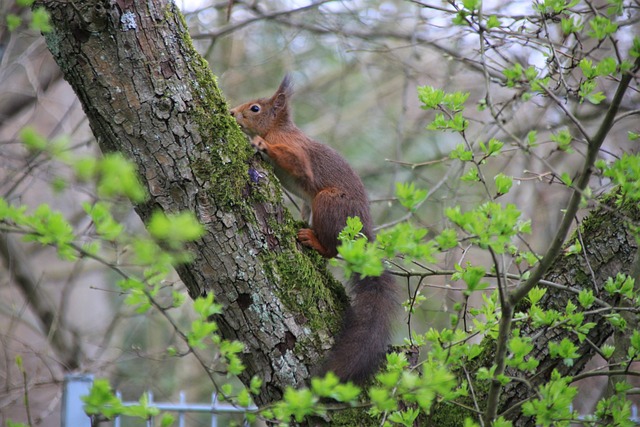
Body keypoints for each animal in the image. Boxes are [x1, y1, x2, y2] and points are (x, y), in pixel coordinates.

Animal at [230, 75, 396, 386]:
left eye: (255, 108)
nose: (232, 112)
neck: (278, 129)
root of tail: (363, 232)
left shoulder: (294, 149)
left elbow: (297, 165)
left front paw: (261, 145)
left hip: (327, 203)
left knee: (332, 250)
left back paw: (312, 239)